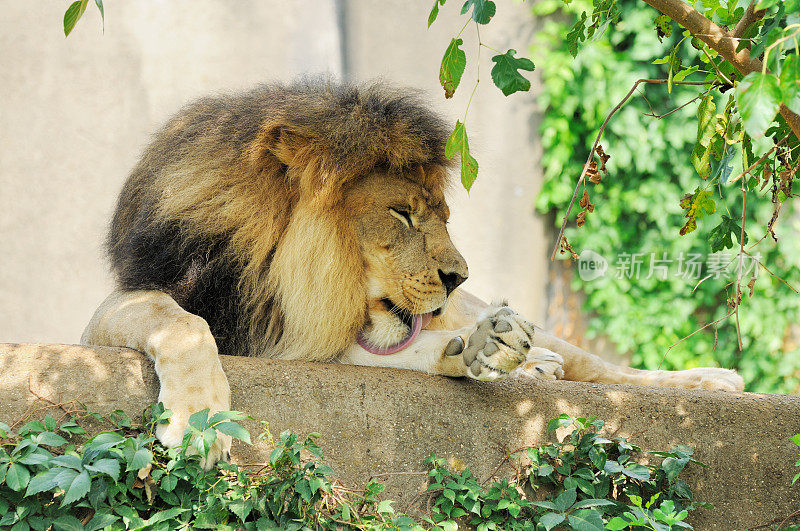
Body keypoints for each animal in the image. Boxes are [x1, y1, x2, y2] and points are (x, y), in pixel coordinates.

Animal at [83, 78, 744, 466]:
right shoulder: (127, 311)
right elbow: (180, 321)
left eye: (441, 216)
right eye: (401, 214)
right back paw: (521, 359)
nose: (458, 275)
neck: (267, 276)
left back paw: (711, 382)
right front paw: (200, 417)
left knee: (607, 370)